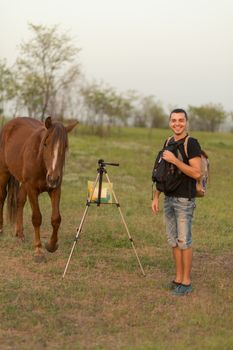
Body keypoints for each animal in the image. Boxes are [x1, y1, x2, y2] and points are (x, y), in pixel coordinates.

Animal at [0, 117, 78, 260]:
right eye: (45, 144)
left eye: (65, 146)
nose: (53, 178)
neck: (41, 162)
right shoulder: (32, 189)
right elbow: (37, 218)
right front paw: (38, 250)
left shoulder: (55, 189)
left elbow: (56, 218)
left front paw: (51, 245)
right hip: (4, 172)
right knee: (2, 197)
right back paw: (1, 229)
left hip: (24, 182)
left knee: (19, 201)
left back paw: (20, 234)